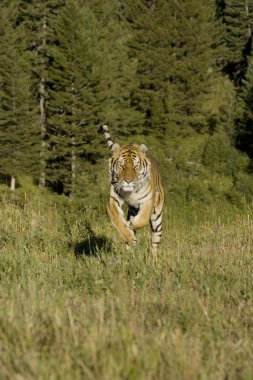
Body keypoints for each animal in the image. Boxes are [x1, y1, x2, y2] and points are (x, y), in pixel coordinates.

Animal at [98, 124, 165, 255]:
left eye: (136, 166)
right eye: (121, 165)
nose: (128, 180)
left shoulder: (148, 200)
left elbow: (142, 219)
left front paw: (132, 224)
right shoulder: (112, 199)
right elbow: (118, 221)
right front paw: (130, 236)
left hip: (157, 218)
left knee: (154, 242)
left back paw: (153, 257)